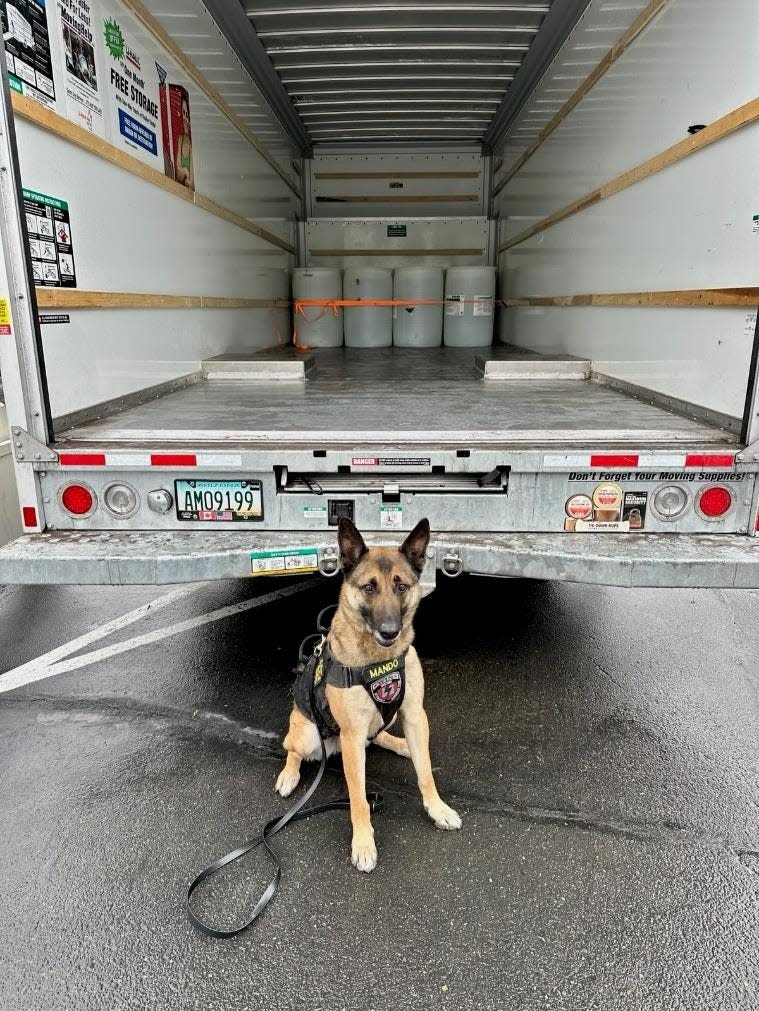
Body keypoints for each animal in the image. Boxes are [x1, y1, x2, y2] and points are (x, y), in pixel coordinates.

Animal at [276, 517, 460, 873]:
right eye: (369, 588)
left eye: (401, 586)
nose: (389, 631)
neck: (378, 661)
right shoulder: (352, 733)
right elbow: (359, 798)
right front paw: (363, 843)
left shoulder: (415, 715)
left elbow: (426, 774)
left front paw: (437, 808)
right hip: (308, 736)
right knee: (291, 748)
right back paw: (289, 775)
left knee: (381, 737)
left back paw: (403, 745)